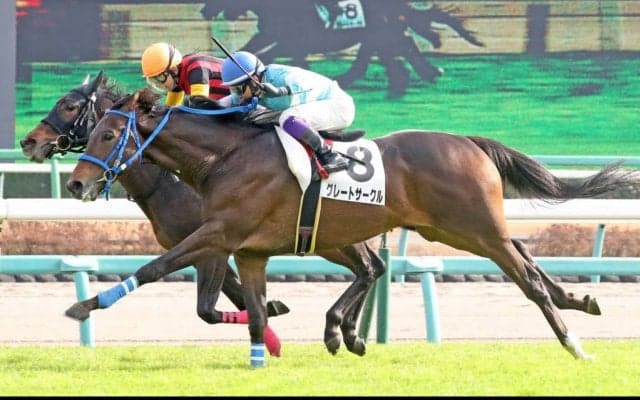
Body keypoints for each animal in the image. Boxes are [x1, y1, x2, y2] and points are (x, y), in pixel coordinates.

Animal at [19, 72, 292, 356]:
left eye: (69, 106)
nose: (28, 142)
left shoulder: (216, 243)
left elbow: (219, 305)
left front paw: (272, 330)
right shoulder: (203, 247)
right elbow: (224, 304)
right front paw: (272, 330)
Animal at [66, 87, 640, 366]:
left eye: (109, 133)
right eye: (91, 131)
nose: (74, 184)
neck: (223, 158)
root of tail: (470, 142)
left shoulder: (216, 235)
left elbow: (156, 266)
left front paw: (85, 305)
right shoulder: (247, 250)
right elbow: (246, 311)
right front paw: (266, 349)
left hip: (476, 230)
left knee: (526, 278)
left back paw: (573, 341)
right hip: (449, 230)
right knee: (518, 255)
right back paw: (579, 300)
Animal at [201, 0, 484, 97]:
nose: (203, 10)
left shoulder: (290, 40)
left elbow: (265, 54)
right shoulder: (277, 37)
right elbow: (254, 49)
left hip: (381, 33)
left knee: (396, 56)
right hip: (381, 34)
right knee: (398, 51)